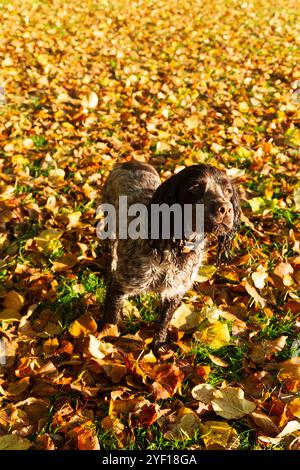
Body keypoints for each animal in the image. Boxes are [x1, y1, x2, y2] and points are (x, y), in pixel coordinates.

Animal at [99, 160, 240, 350]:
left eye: (228, 191)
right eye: (194, 187)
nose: (225, 209)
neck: (176, 249)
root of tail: (131, 162)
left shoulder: (175, 291)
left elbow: (163, 321)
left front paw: (158, 345)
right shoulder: (120, 284)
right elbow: (111, 319)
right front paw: (106, 342)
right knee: (113, 247)